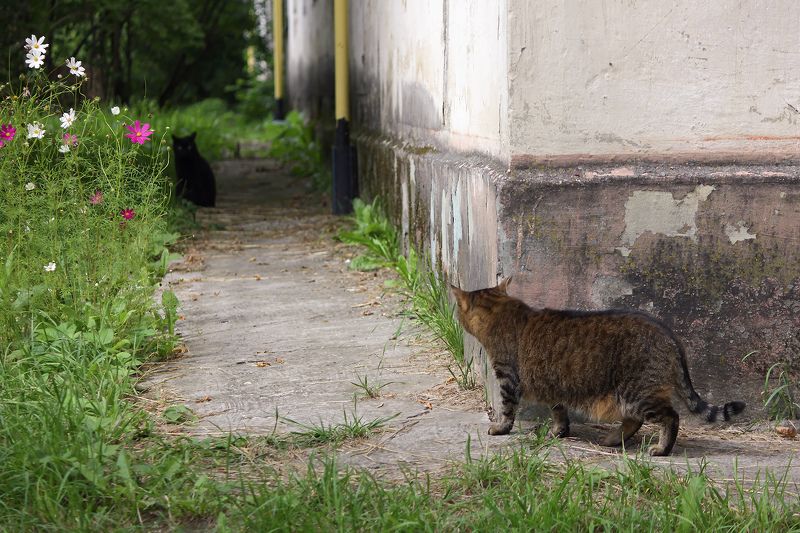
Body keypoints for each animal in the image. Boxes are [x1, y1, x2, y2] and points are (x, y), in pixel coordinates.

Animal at [450, 276, 744, 456]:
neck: (503, 312)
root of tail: (669, 334)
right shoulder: (555, 385)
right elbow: (559, 411)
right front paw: (558, 431)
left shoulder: (508, 377)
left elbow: (507, 409)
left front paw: (500, 428)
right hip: (630, 395)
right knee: (635, 420)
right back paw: (614, 439)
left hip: (637, 391)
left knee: (670, 417)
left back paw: (661, 449)